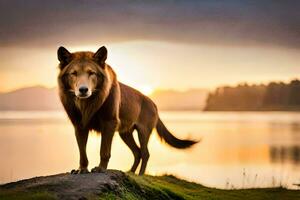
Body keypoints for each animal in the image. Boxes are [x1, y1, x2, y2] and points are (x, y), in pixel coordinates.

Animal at [57, 46, 198, 175]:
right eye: (74, 73)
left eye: (91, 73)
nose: (83, 90)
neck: (87, 103)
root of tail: (153, 103)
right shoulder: (79, 126)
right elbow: (82, 152)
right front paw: (82, 169)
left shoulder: (109, 123)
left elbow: (104, 150)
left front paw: (101, 169)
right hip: (125, 134)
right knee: (137, 152)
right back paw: (130, 172)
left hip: (143, 132)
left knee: (145, 153)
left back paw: (140, 176)